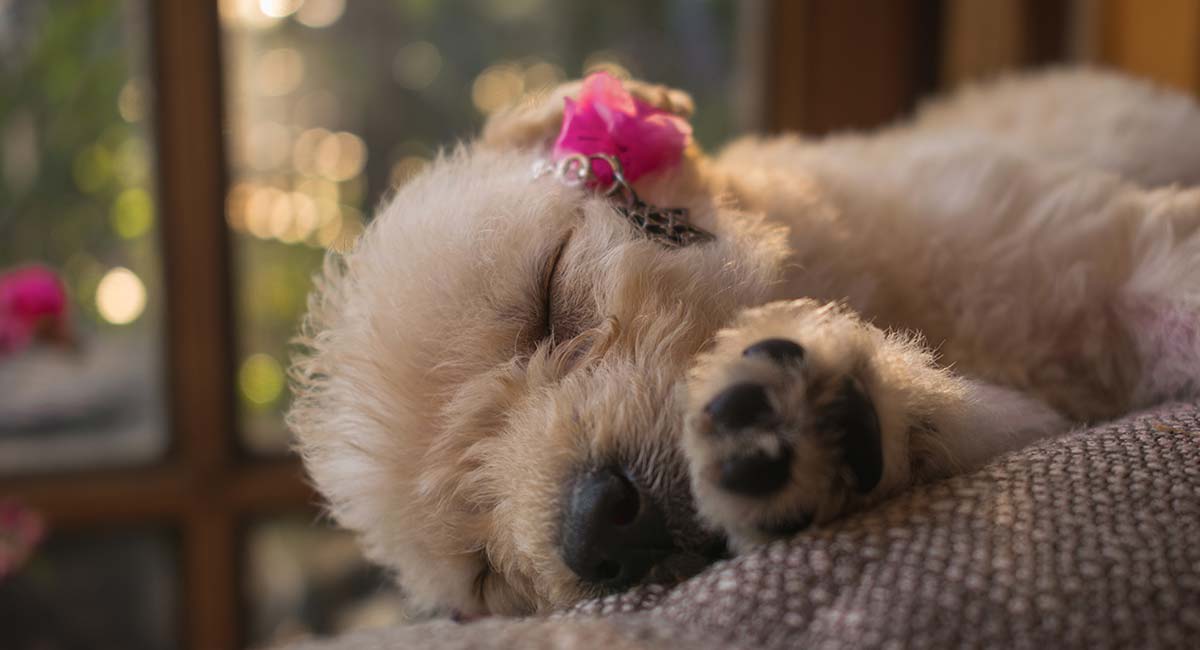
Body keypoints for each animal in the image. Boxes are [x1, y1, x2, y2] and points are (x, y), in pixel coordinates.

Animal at [288, 70, 1200, 623]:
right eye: (487, 571)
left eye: (547, 300)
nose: (597, 532)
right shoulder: (1028, 416)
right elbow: (974, 419)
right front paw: (818, 418)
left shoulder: (1099, 255)